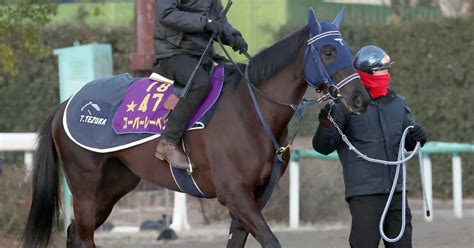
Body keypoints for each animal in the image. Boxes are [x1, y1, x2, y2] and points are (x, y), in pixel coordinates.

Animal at [22, 7, 370, 248]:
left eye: (348, 50)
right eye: (328, 51)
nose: (360, 98)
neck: (249, 110)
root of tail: (66, 104)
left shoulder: (253, 198)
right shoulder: (235, 195)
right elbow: (272, 241)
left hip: (114, 185)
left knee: (75, 233)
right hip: (85, 184)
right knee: (83, 236)